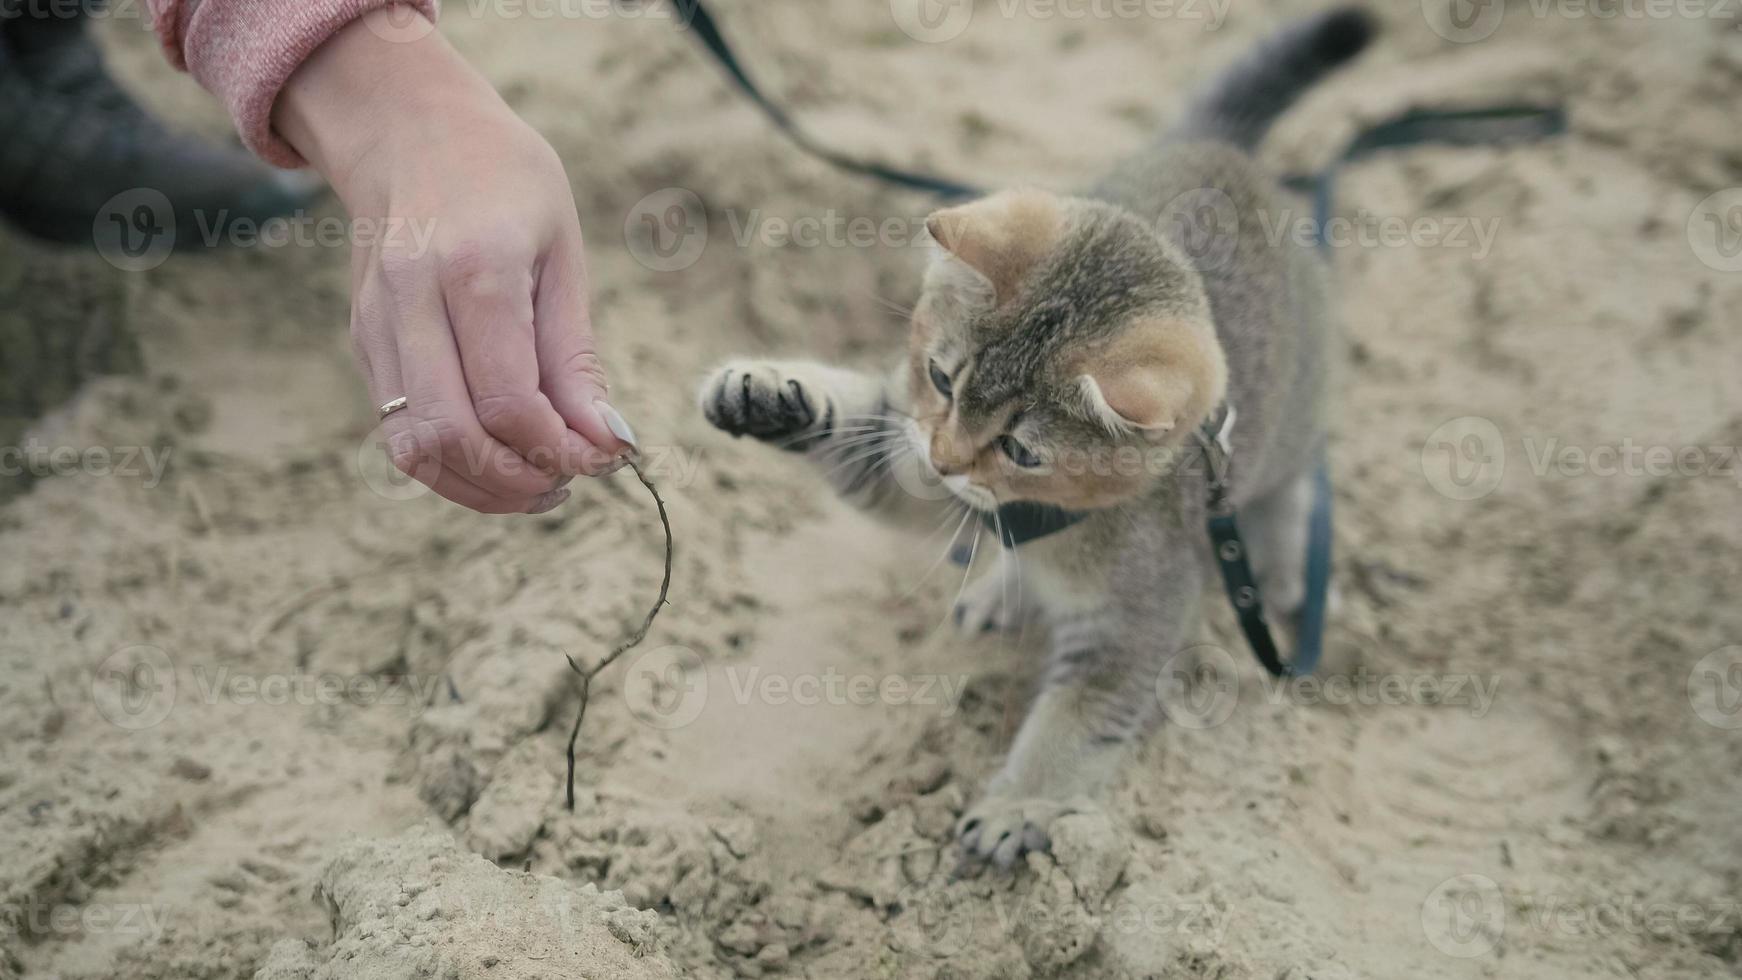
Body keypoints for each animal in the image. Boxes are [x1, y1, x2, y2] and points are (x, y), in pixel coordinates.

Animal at [696, 5, 1372, 866]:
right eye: (941, 379)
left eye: (1022, 449)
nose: (948, 459)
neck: (1042, 517)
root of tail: (1221, 146)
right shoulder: (914, 459)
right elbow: (864, 441)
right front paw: (767, 398)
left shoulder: (1133, 619)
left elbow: (1077, 719)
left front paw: (1021, 801)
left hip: (1294, 415)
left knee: (1295, 478)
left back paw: (1284, 567)